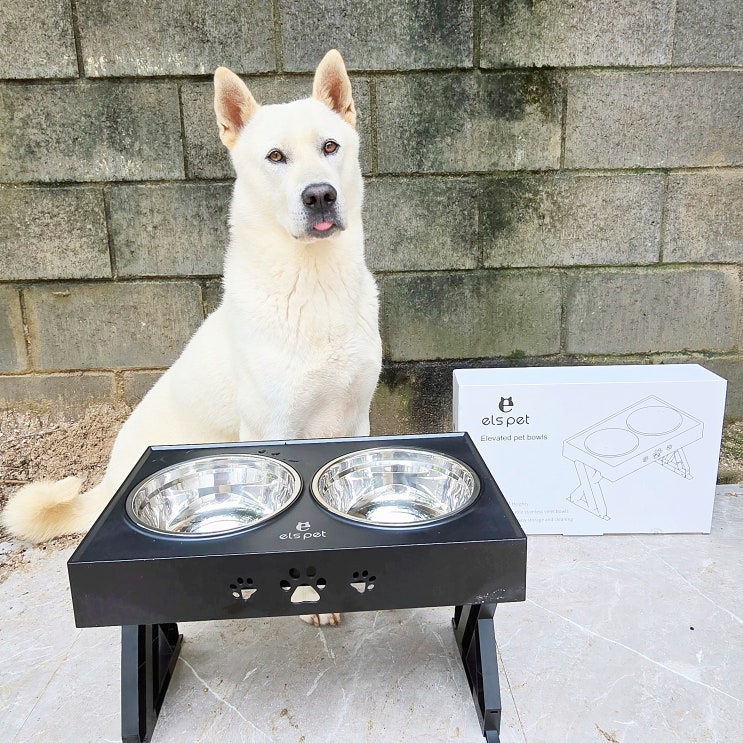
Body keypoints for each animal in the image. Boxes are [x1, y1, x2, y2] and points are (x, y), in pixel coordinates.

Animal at [1, 50, 382, 626]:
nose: (320, 195)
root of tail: (107, 483)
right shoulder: (272, 429)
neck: (314, 285)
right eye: (275, 156)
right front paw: (312, 601)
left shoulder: (357, 417)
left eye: (330, 147)